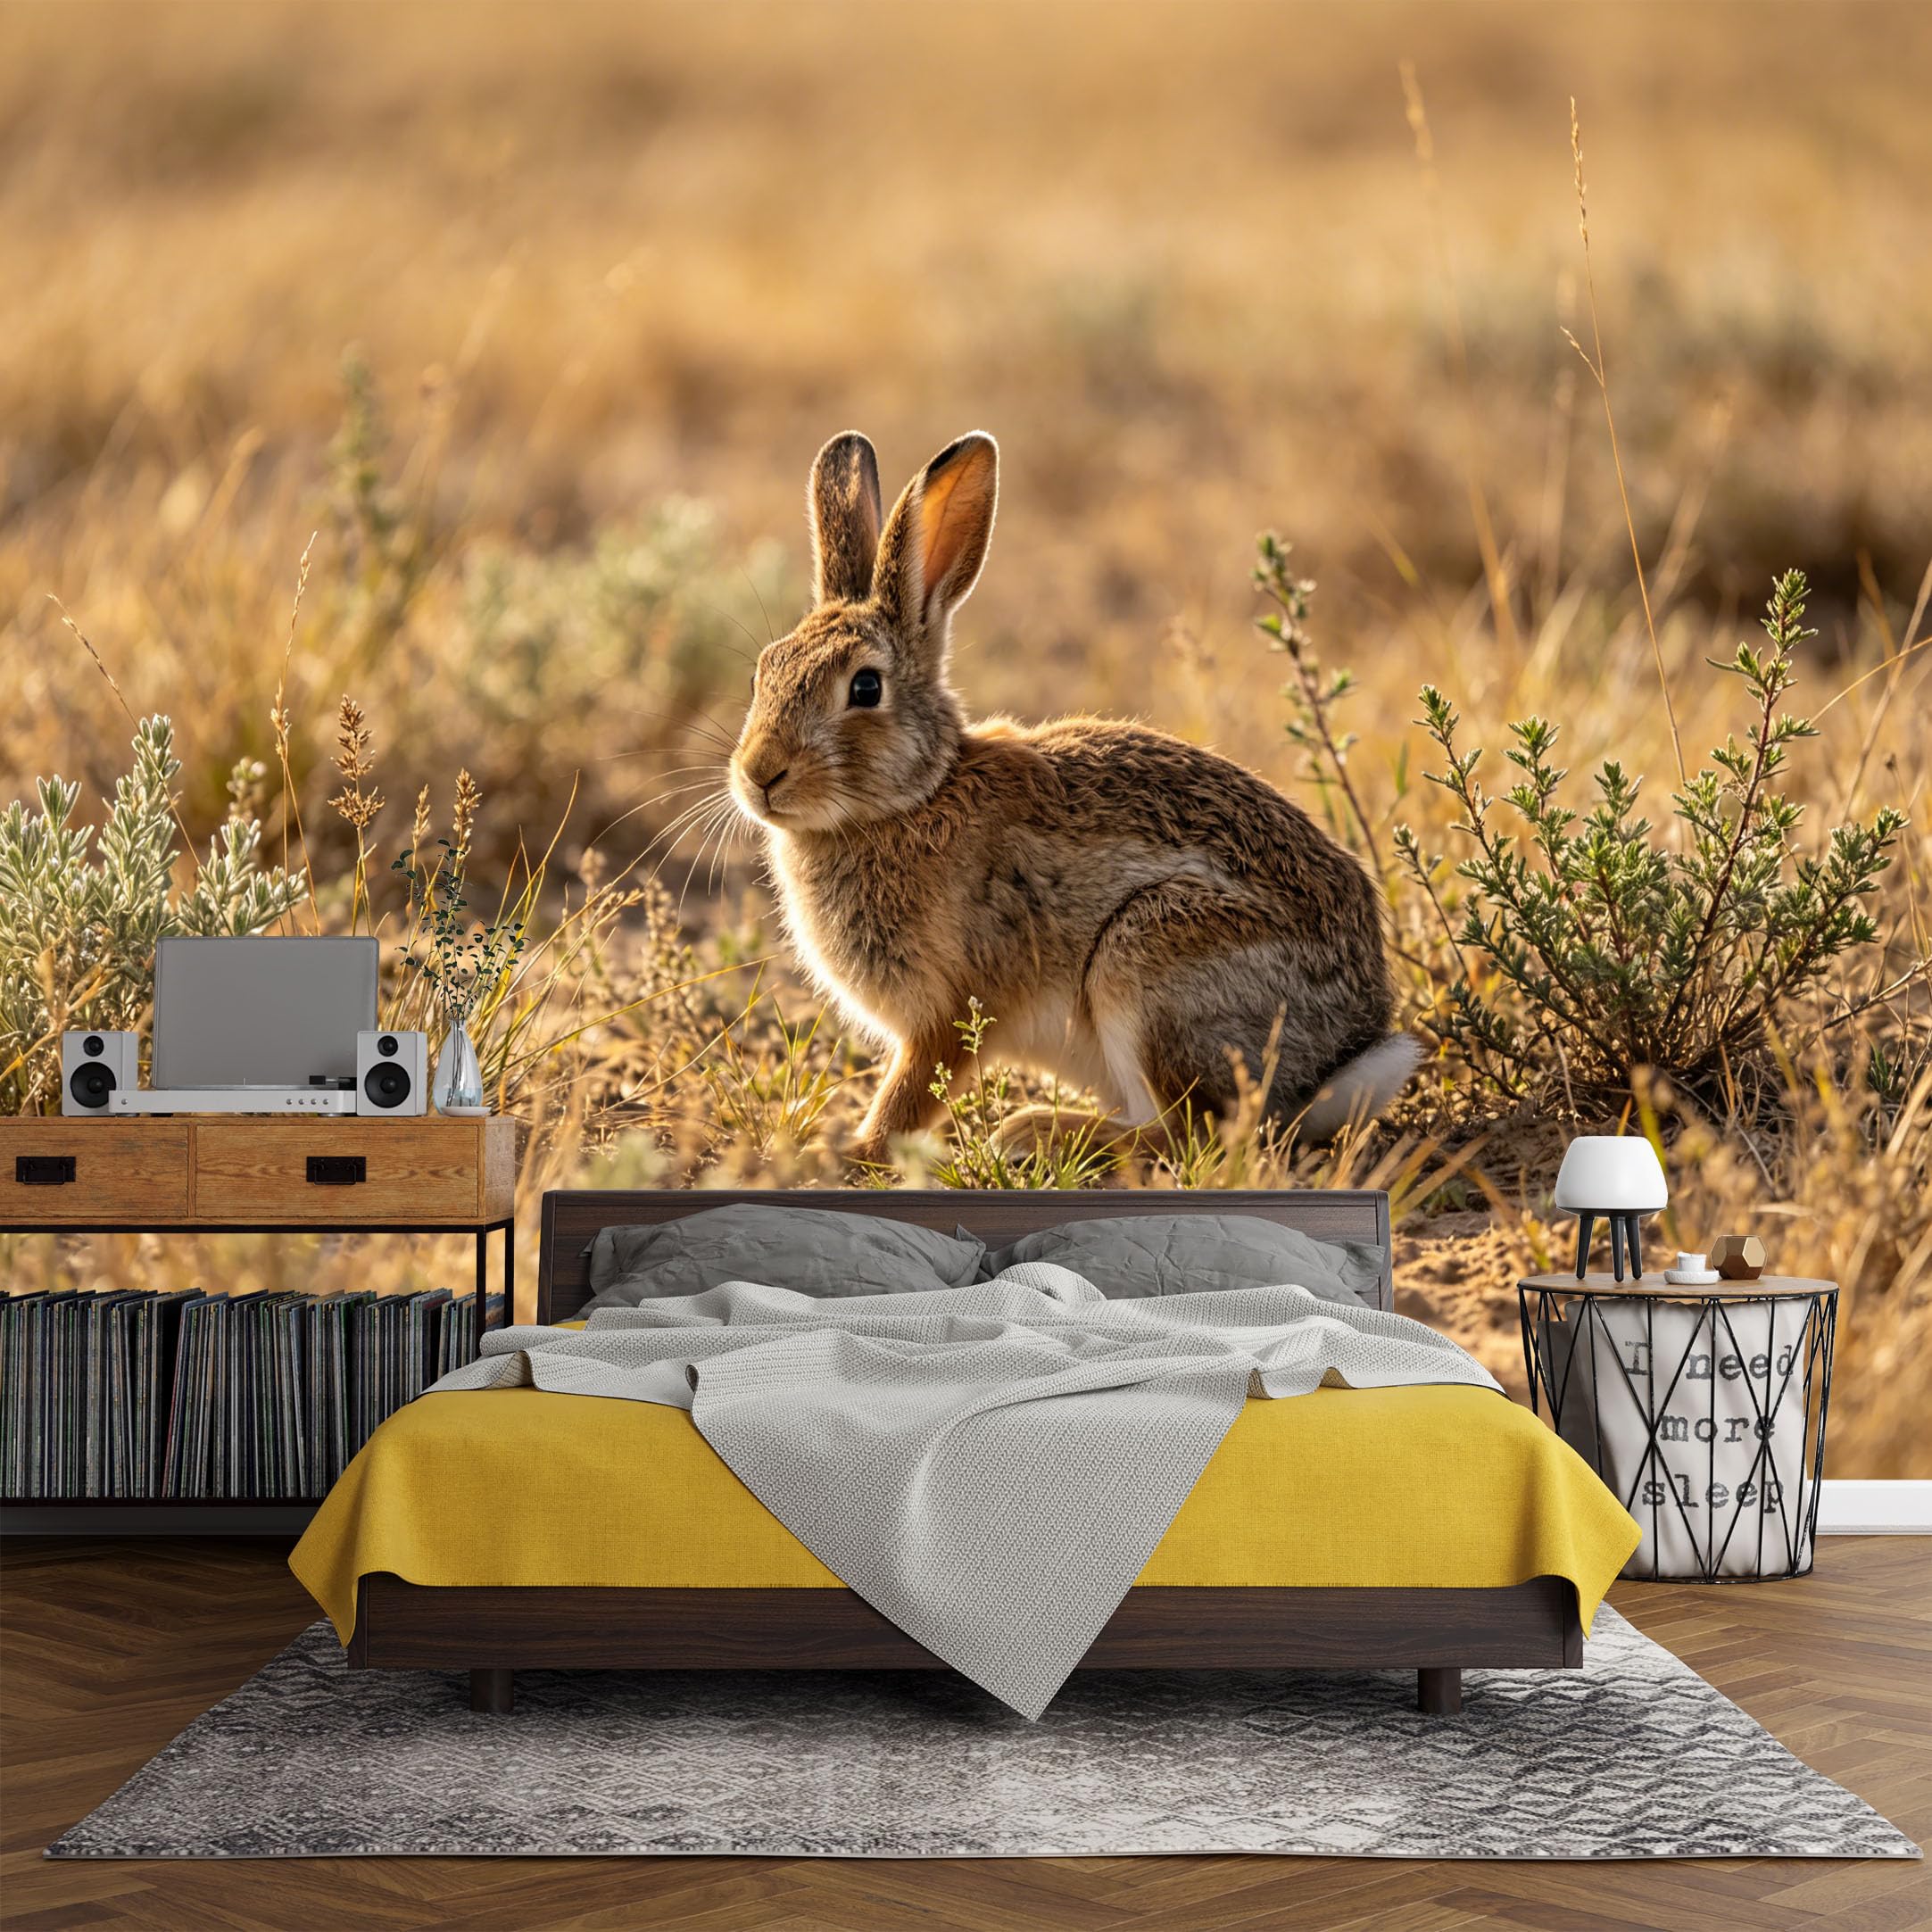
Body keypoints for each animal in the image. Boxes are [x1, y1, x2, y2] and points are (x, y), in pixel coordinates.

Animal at [727, 430, 1419, 1165]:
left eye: (864, 688)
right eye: (762, 673)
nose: (758, 773)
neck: (914, 797)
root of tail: (1338, 1059)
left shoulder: (954, 1006)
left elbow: (911, 1091)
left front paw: (844, 1150)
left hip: (1149, 959)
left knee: (1197, 1132)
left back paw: (1038, 1130)